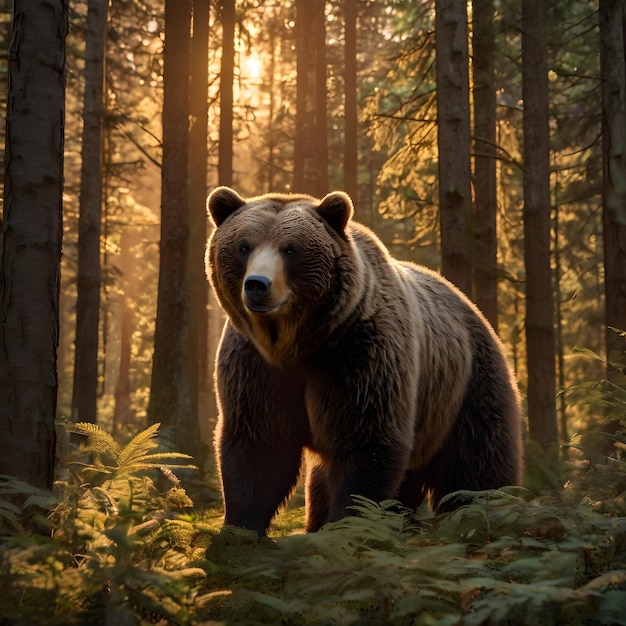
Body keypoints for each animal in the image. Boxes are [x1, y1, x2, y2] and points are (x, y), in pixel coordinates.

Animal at [205, 184, 520, 532]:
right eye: (243, 246)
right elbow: (259, 444)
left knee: (476, 466)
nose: (258, 285)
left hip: (465, 386)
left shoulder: (358, 354)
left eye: (290, 250)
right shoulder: (256, 364)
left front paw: (346, 526)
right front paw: (240, 528)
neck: (298, 343)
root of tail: (472, 307)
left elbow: (365, 441)